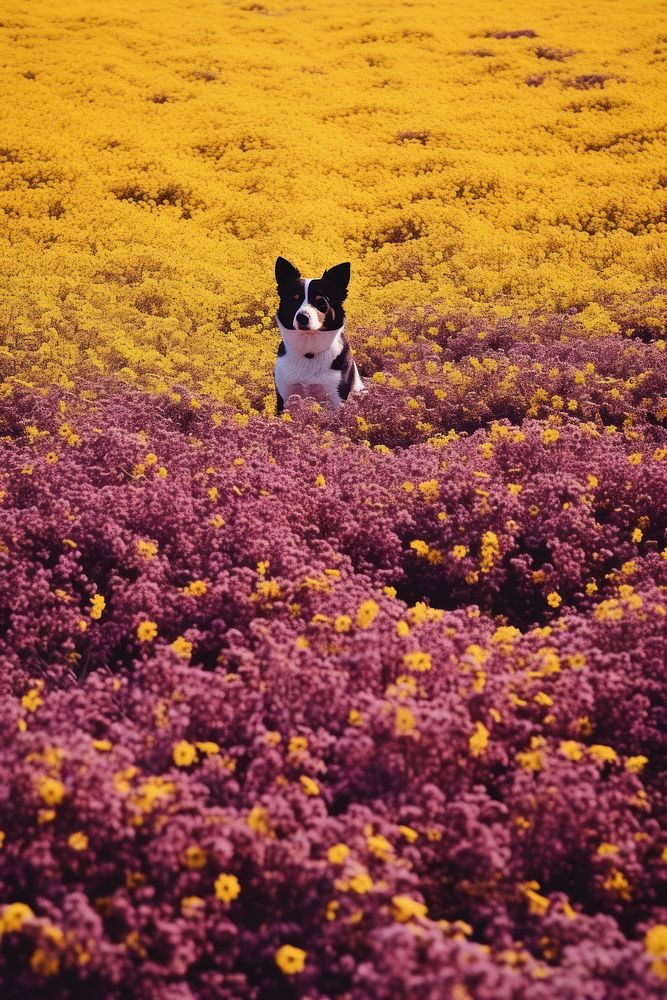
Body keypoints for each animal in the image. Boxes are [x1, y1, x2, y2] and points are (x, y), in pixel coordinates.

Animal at [272, 258, 362, 418]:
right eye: (295, 299)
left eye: (320, 301)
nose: (302, 317)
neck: (309, 352)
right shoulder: (285, 394)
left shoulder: (337, 396)